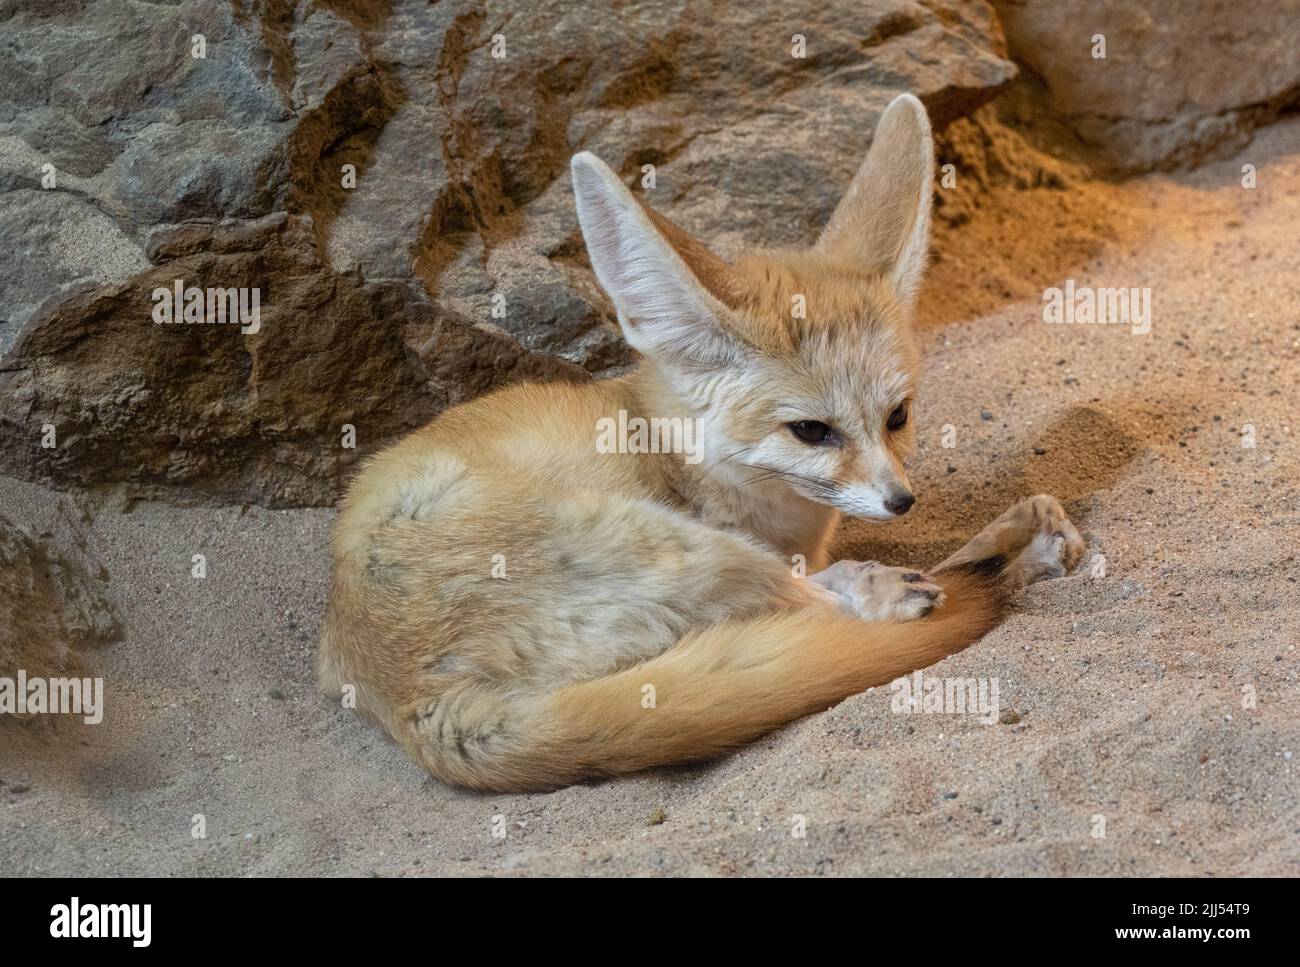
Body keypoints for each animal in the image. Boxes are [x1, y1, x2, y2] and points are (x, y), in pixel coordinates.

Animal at [322, 94, 1086, 795]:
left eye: (897, 416)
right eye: (811, 430)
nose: (902, 502)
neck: (668, 444)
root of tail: (416, 704)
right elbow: (832, 589)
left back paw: (1023, 540)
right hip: (675, 544)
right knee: (840, 605)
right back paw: (947, 573)